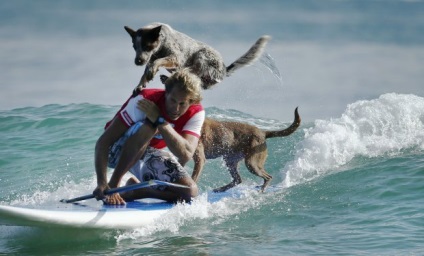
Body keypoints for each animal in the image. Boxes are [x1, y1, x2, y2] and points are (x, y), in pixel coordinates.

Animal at [124, 22, 270, 90]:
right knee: (198, 80)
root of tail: (224, 70)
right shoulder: (151, 58)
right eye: (134, 47)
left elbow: (157, 62)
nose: (138, 61)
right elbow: (148, 69)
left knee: (193, 71)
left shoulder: (175, 58)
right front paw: (140, 84)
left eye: (147, 46)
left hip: (202, 56)